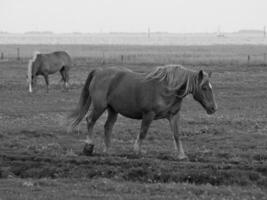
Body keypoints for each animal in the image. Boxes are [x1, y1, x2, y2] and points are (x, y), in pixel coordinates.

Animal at [68, 65, 218, 160]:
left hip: (113, 110)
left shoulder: (174, 116)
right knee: (90, 120)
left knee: (108, 126)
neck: (167, 89)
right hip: (100, 107)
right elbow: (143, 132)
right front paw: (137, 151)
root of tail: (99, 71)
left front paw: (181, 155)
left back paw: (107, 151)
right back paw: (88, 146)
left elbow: (176, 135)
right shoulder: (148, 115)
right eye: (204, 87)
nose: (213, 108)